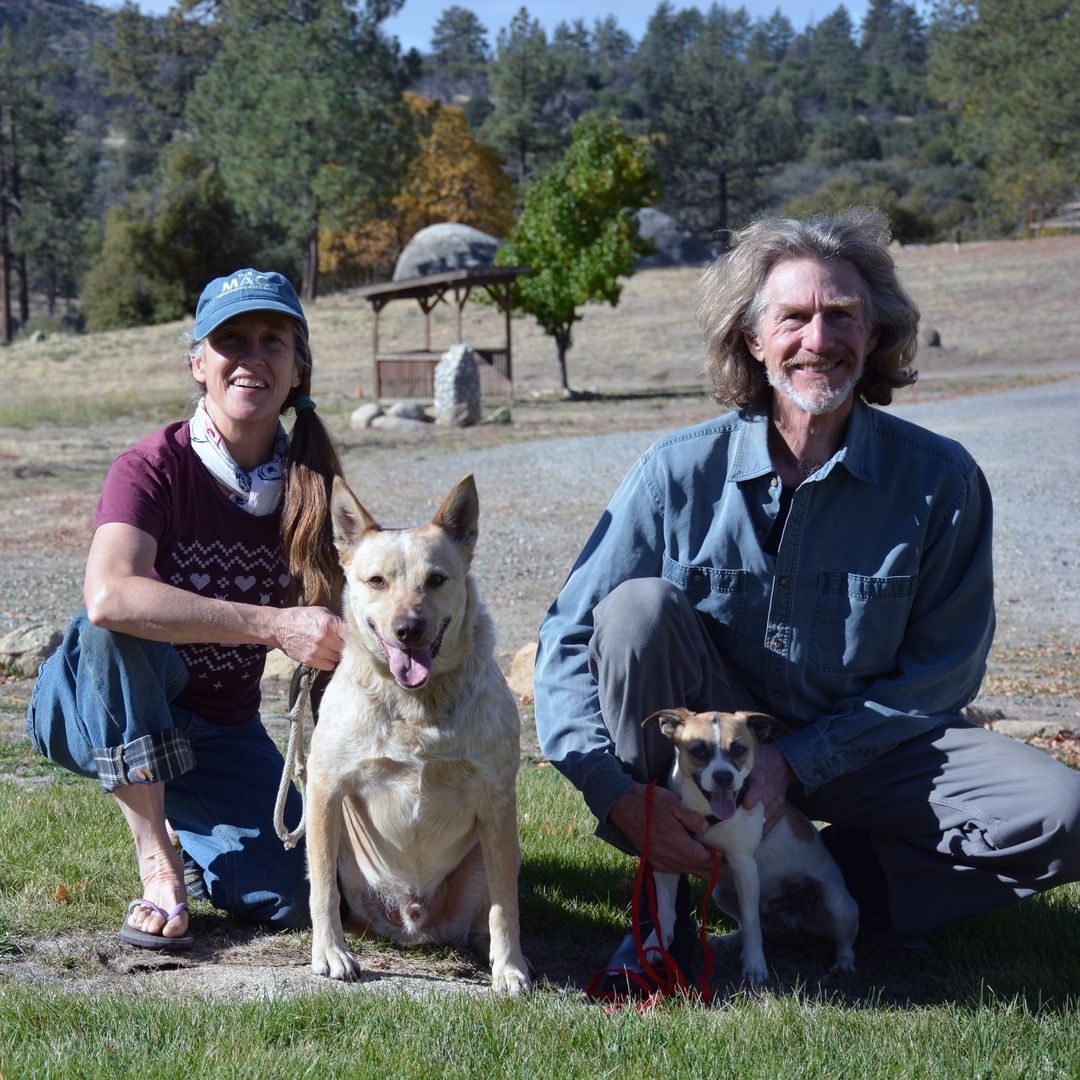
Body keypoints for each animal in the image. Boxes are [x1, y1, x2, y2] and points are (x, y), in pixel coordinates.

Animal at [304, 473, 531, 993]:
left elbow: (505, 906)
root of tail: (413, 921)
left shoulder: (497, 800)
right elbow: (322, 888)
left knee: (490, 906)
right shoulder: (324, 789)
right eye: (377, 581)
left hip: (495, 847)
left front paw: (510, 967)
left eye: (436, 579)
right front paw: (330, 953)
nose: (408, 628)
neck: (416, 707)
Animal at [639, 708, 859, 989]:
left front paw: (755, 966)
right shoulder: (667, 859)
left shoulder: (743, 864)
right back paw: (730, 941)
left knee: (842, 942)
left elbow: (752, 923)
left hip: (837, 903)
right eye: (698, 750)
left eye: (739, 749)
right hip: (722, 893)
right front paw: (656, 944)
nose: (724, 777)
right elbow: (665, 912)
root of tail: (791, 921)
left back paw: (843, 963)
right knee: (747, 923)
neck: (706, 814)